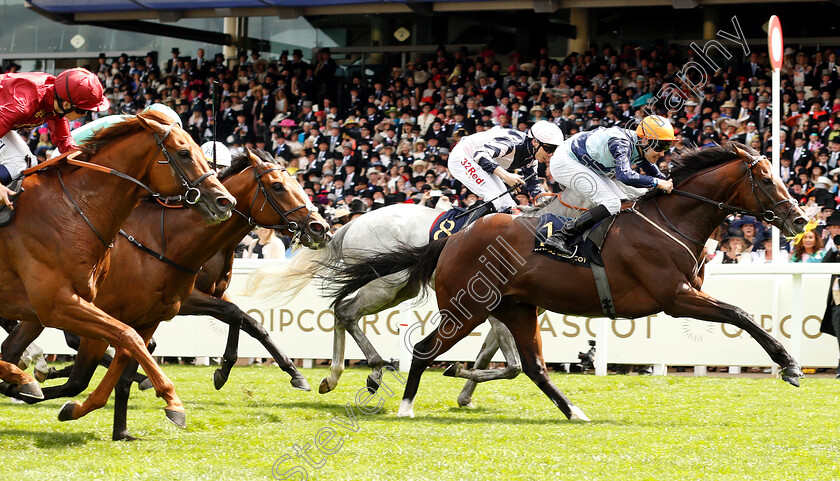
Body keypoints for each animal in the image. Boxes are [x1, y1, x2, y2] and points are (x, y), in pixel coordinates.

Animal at [0, 110, 235, 426]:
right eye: (184, 153)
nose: (225, 202)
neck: (71, 211)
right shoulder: (58, 303)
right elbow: (127, 336)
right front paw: (173, 401)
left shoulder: (76, 305)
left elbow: (127, 344)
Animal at [0, 149, 328, 438]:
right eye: (278, 186)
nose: (319, 226)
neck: (166, 239)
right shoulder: (180, 302)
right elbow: (236, 316)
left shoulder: (179, 304)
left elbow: (248, 321)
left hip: (41, 311)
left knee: (15, 349)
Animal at [326, 143, 808, 420]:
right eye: (767, 179)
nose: (800, 219)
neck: (671, 218)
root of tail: (452, 240)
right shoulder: (674, 297)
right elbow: (740, 314)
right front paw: (789, 364)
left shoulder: (687, 293)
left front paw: (465, 380)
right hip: (462, 308)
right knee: (415, 344)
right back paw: (400, 403)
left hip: (512, 308)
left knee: (534, 367)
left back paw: (573, 411)